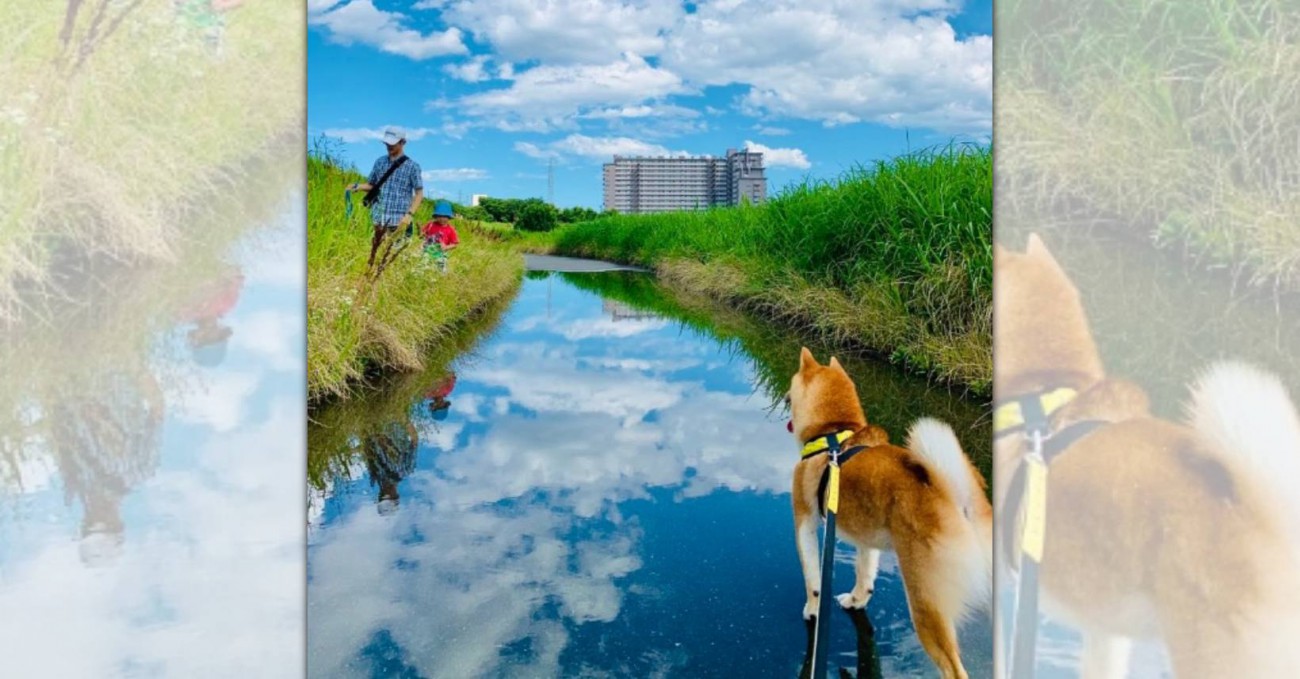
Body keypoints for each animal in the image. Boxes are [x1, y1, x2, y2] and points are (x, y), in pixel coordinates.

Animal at [785, 348, 987, 676]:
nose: (785, 397)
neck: (833, 434)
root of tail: (955, 497)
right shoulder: (867, 541)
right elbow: (865, 576)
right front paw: (856, 601)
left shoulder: (805, 522)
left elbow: (813, 581)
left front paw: (812, 611)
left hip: (925, 601)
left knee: (954, 668)